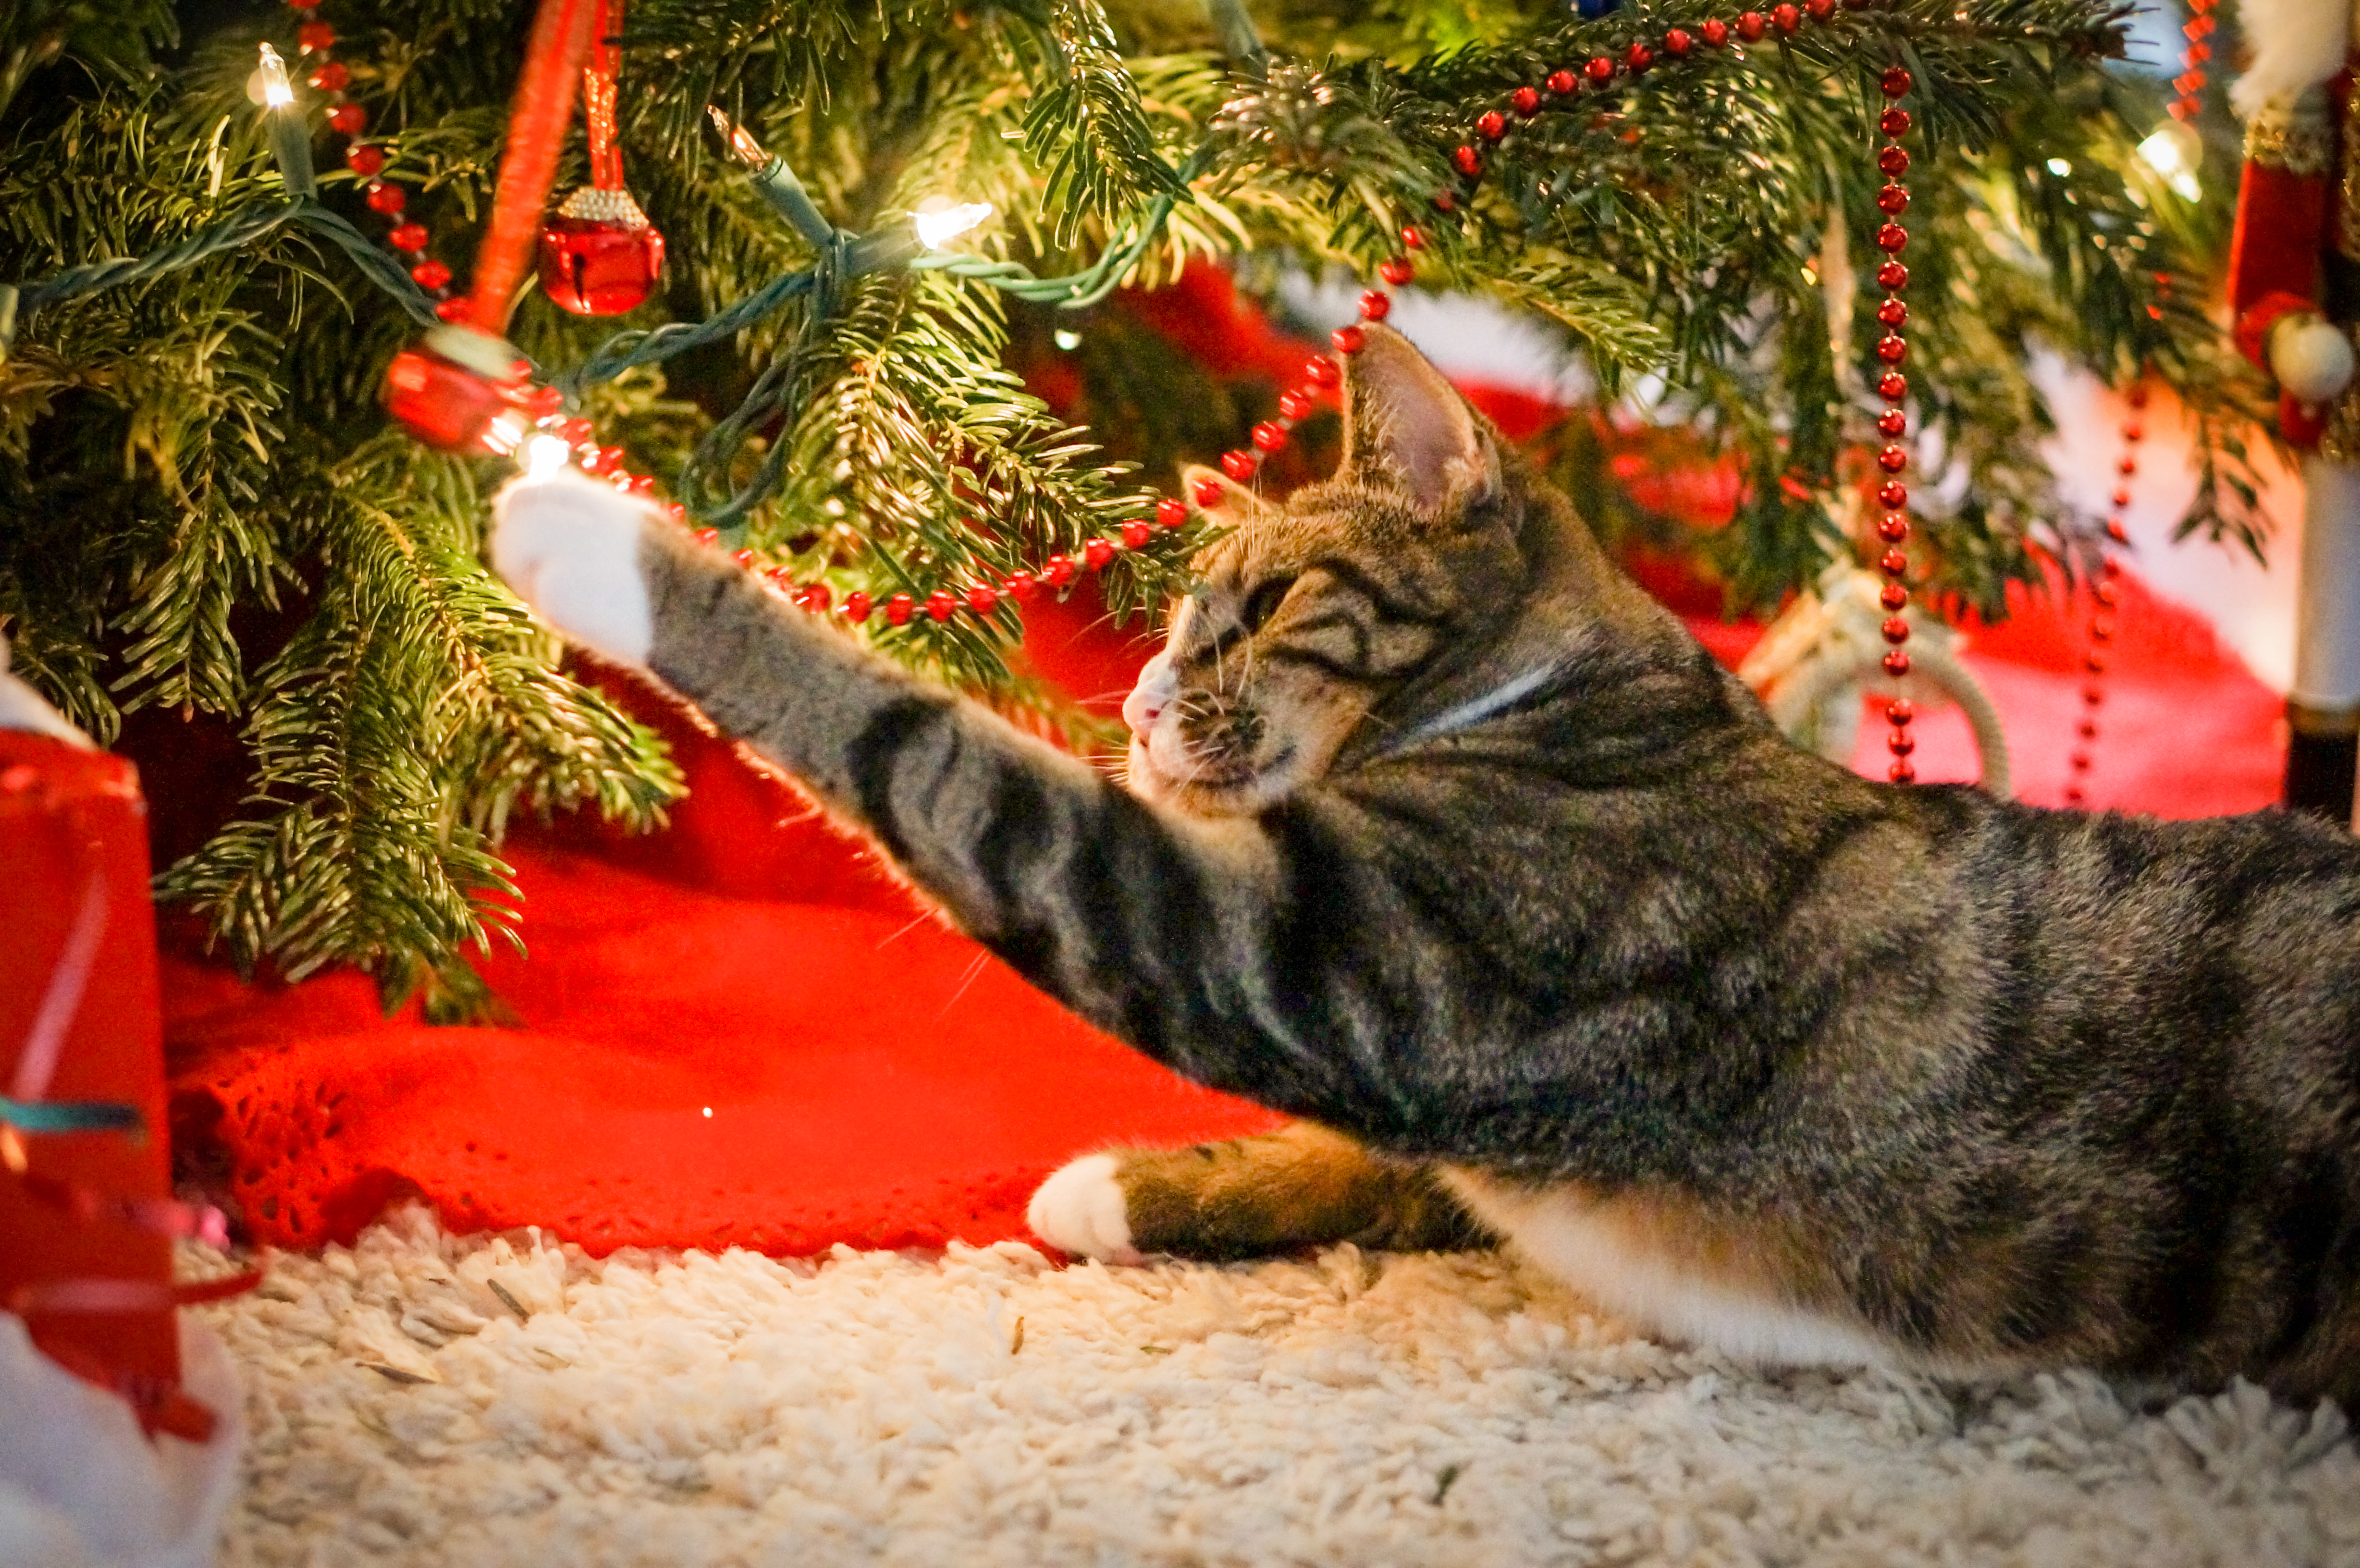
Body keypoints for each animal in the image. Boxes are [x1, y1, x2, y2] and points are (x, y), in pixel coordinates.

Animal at [488, 323, 2360, 1398]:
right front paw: (1130, 1185)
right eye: (1176, 620)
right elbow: (1365, 1165)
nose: (1144, 699)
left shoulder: (1351, 953)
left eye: (1260, 607)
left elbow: (941, 760)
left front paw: (592, 532)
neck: (1572, 704)